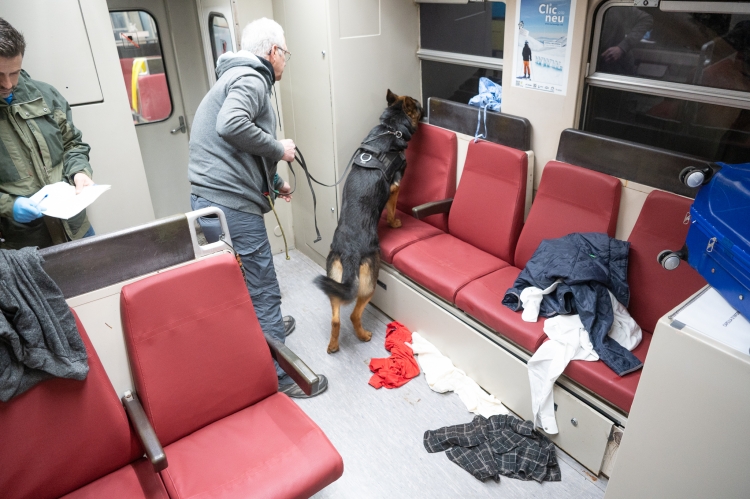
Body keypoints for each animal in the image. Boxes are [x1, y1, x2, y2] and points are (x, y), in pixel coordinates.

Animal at [316, 91, 424, 356]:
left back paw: (333, 345)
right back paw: (363, 335)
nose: (424, 108)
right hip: (370, 284)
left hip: (334, 279)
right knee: (354, 314)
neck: (390, 128)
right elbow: (393, 209)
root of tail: (350, 252)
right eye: (417, 106)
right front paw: (395, 223)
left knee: (336, 318)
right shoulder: (395, 187)